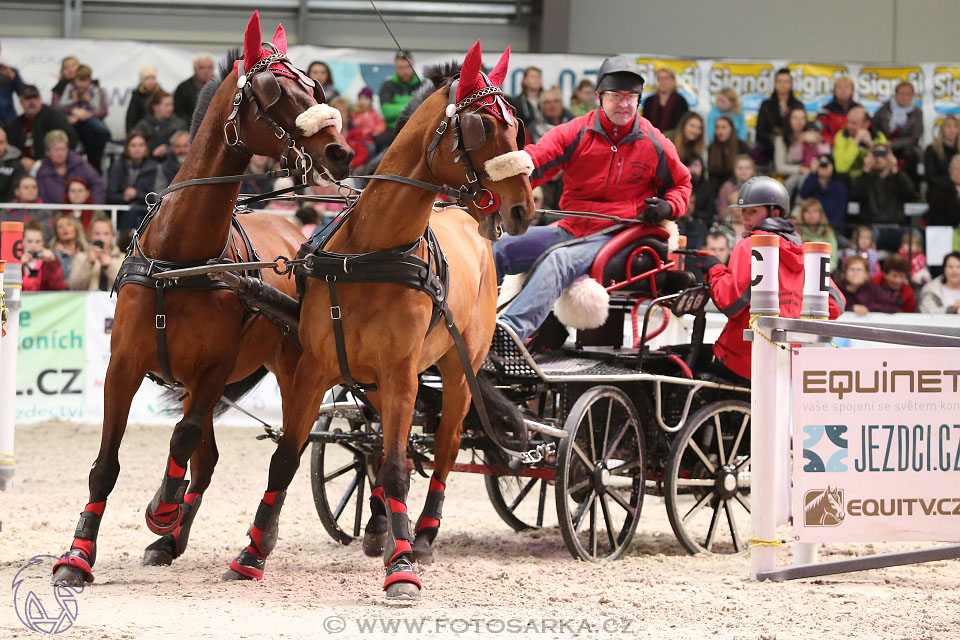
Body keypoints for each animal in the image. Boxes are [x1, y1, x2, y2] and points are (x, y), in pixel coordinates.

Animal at [53, 11, 352, 592]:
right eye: (274, 90)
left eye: (315, 87)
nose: (340, 152)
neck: (179, 260)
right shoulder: (124, 366)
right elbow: (108, 463)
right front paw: (78, 555)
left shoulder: (213, 367)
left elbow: (182, 439)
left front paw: (160, 508)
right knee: (211, 458)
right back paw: (170, 543)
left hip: (294, 369)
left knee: (284, 454)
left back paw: (252, 546)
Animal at [223, 41, 540, 600]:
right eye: (482, 126)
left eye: (518, 126)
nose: (523, 209)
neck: (370, 253)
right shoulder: (316, 369)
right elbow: (288, 456)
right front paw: (251, 554)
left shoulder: (400, 373)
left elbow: (396, 468)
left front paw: (403, 567)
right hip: (372, 381)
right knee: (383, 445)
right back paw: (379, 525)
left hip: (456, 371)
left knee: (441, 447)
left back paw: (424, 535)